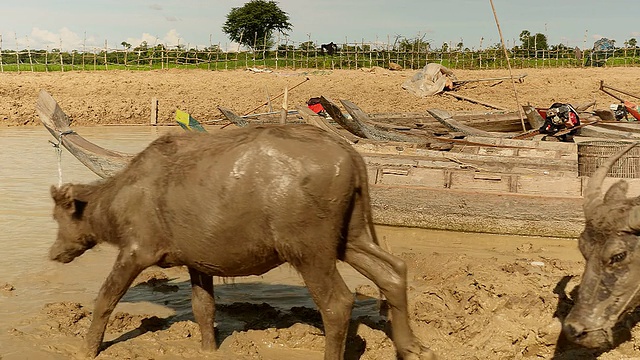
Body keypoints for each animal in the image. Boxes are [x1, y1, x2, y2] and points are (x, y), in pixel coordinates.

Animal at [47, 124, 432, 360]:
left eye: (60, 217)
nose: (53, 252)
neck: (113, 205)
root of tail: (349, 152)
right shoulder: (197, 262)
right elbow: (203, 309)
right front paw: (208, 348)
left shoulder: (136, 252)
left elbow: (105, 300)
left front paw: (86, 348)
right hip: (349, 238)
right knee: (393, 271)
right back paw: (412, 346)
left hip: (309, 249)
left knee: (338, 303)